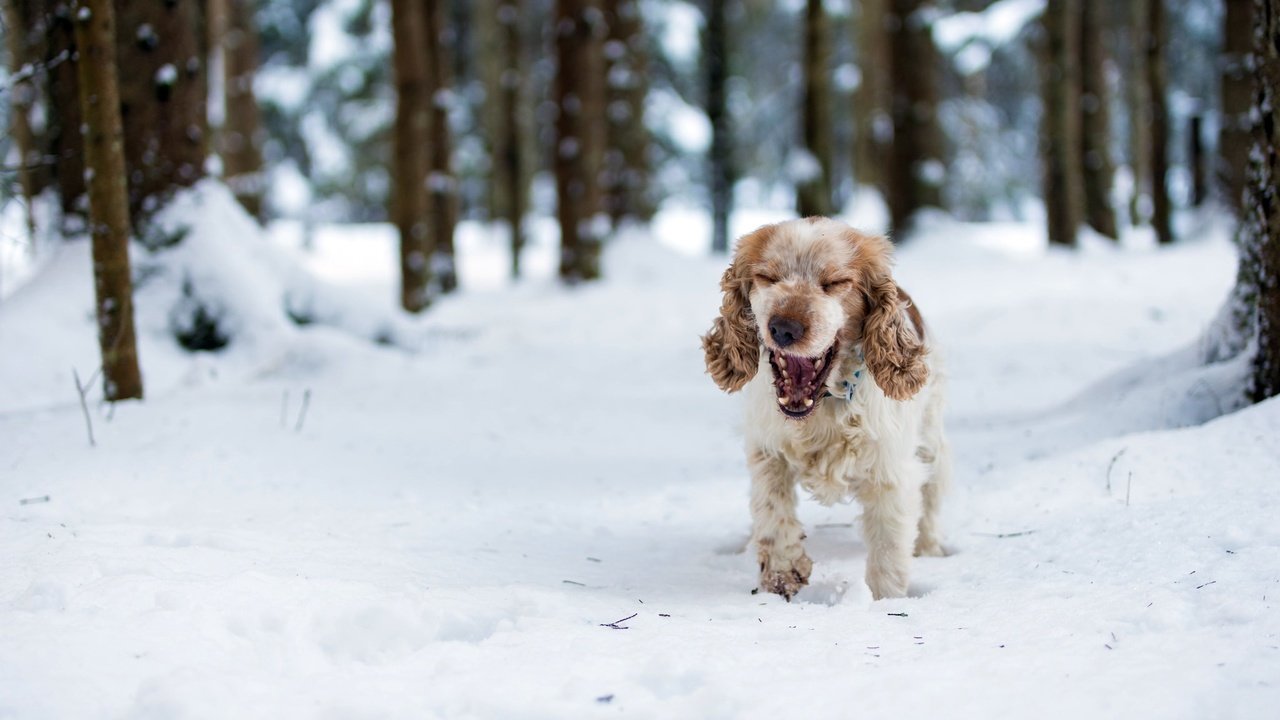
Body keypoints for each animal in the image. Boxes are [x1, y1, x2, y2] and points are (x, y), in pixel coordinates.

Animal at [701, 215, 952, 597]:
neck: (824, 406)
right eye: (768, 277)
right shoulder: (766, 451)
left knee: (933, 498)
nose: (784, 327)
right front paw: (783, 573)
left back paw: (930, 549)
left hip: (931, 442)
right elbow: (772, 509)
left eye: (835, 283)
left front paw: (884, 601)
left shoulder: (890, 470)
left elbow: (888, 550)